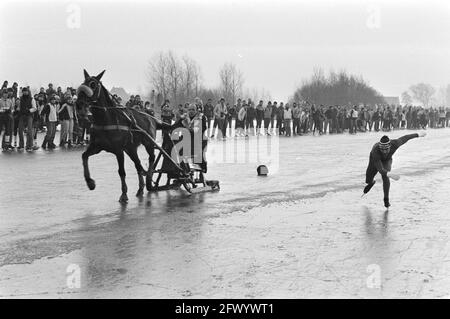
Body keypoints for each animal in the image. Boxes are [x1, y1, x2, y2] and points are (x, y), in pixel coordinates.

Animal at [76, 69, 168, 202]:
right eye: (83, 83)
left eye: (93, 84)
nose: (79, 104)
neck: (106, 120)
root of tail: (152, 118)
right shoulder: (97, 147)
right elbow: (84, 156)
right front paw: (90, 182)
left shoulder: (119, 150)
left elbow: (121, 172)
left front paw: (124, 194)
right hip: (131, 148)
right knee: (138, 164)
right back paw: (141, 187)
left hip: (148, 143)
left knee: (151, 157)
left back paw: (149, 177)